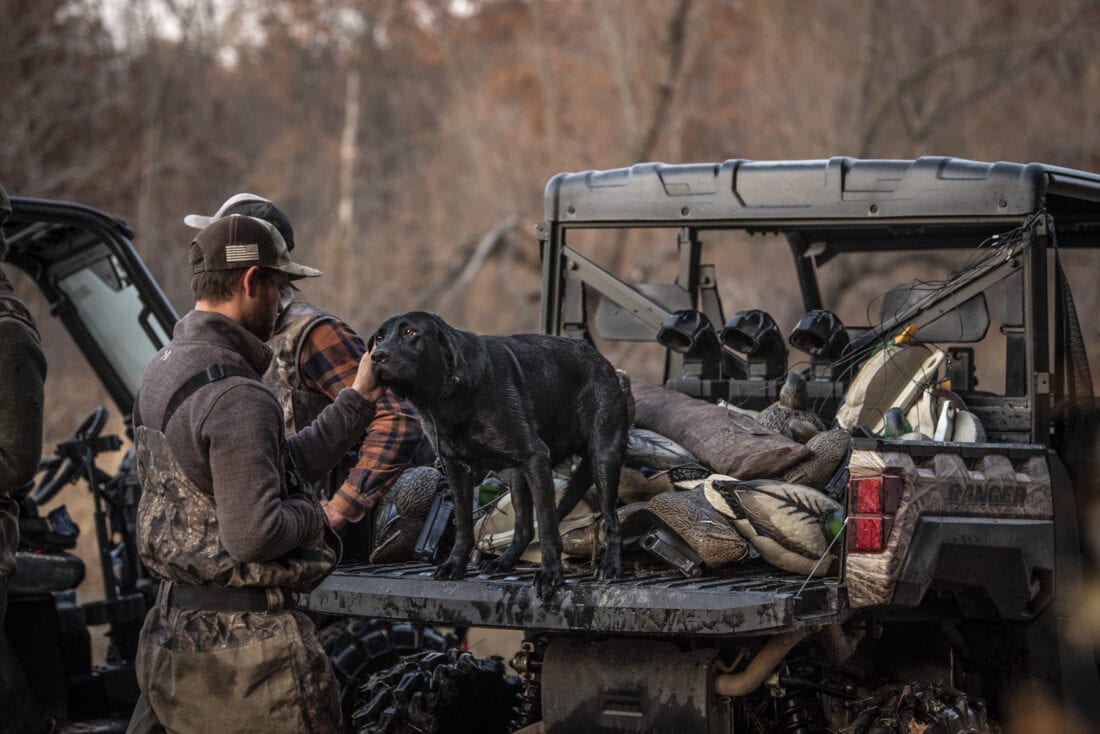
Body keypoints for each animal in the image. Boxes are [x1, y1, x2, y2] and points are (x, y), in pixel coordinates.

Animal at [369, 312, 629, 598]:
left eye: (411, 333)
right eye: (379, 337)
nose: (377, 356)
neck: (447, 398)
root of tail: (603, 361)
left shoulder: (536, 457)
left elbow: (548, 526)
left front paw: (551, 575)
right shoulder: (456, 469)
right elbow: (463, 525)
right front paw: (455, 565)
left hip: (602, 458)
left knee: (612, 520)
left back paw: (611, 567)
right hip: (518, 475)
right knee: (524, 529)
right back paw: (505, 561)